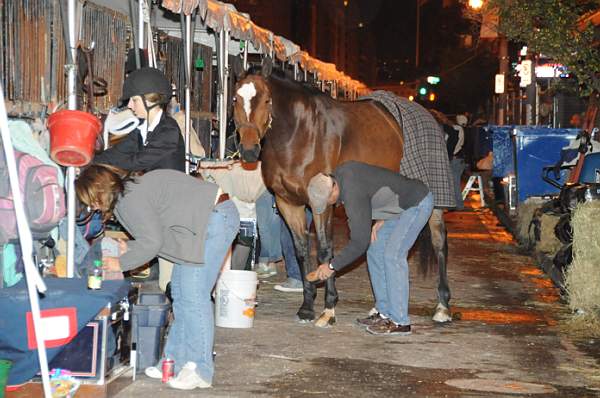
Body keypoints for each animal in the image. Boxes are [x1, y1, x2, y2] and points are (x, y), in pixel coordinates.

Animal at [232, 62, 452, 326]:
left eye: (266, 100)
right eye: (234, 99)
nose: (249, 151)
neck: (298, 134)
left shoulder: (323, 203)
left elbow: (325, 251)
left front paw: (329, 307)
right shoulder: (288, 204)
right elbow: (301, 251)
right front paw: (307, 306)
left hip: (435, 202)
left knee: (439, 242)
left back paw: (442, 306)